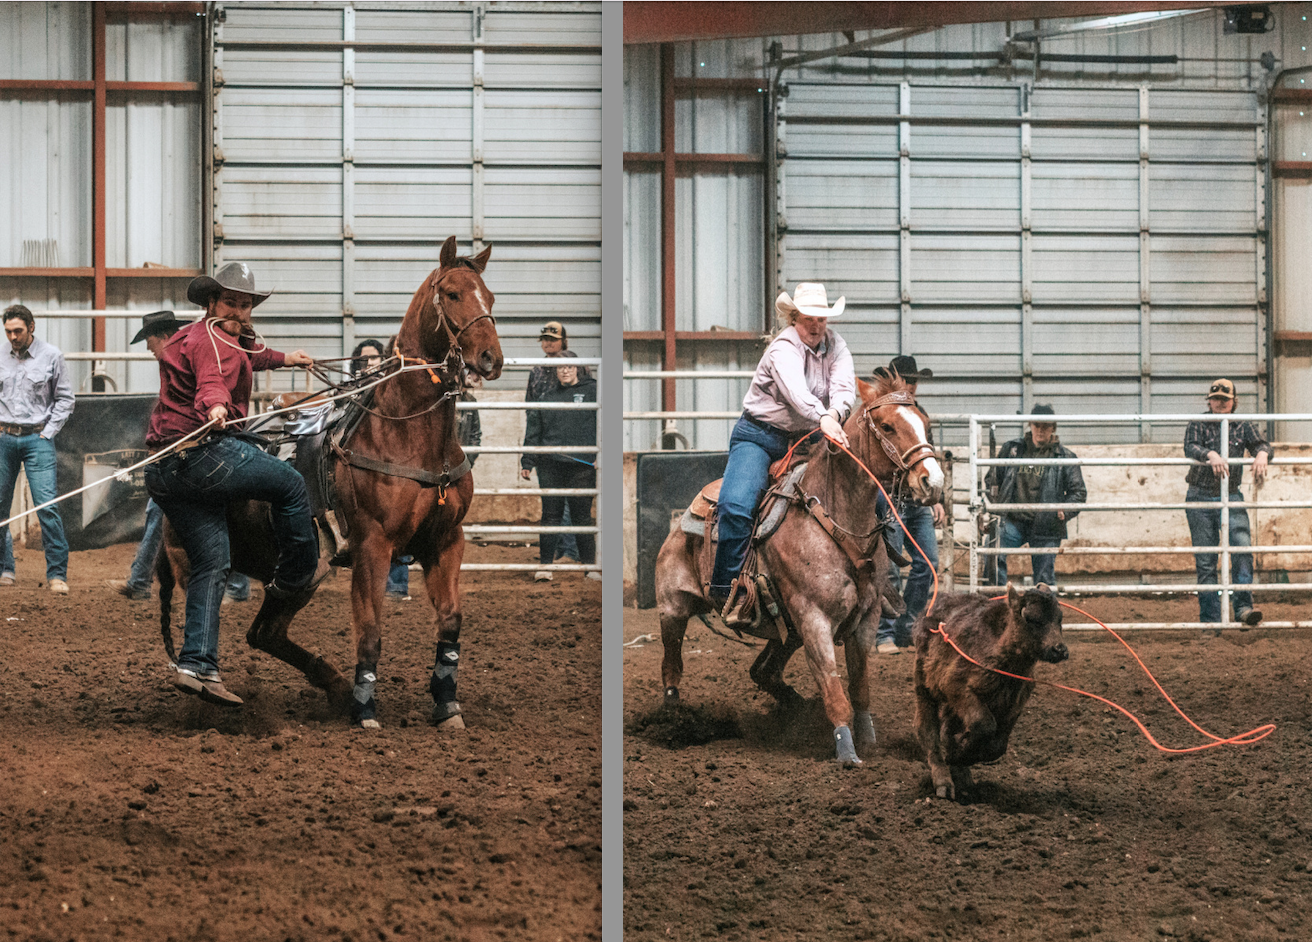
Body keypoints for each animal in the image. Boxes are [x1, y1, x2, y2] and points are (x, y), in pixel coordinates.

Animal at [154, 236, 501, 729]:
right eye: (452, 293)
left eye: (489, 297)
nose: (491, 359)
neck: (406, 434)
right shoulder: (373, 545)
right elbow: (371, 630)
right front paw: (366, 710)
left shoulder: (447, 540)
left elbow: (451, 620)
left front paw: (447, 705)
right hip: (207, 565)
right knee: (215, 619)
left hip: (299, 576)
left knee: (265, 633)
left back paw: (333, 686)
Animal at [656, 372, 944, 766]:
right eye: (887, 426)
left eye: (926, 425)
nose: (933, 483)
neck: (836, 519)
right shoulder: (814, 619)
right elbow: (834, 690)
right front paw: (847, 752)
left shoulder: (866, 619)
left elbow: (860, 688)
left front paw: (868, 741)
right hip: (674, 607)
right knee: (672, 668)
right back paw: (674, 721)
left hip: (785, 631)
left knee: (763, 672)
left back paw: (796, 708)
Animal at [913, 587, 1065, 802]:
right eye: (1031, 618)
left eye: (1059, 618)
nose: (1059, 649)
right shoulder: (956, 686)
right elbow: (984, 724)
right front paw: (960, 754)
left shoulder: (1015, 703)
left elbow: (998, 746)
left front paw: (963, 754)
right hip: (924, 686)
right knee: (928, 730)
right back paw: (944, 781)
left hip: (953, 706)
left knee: (947, 730)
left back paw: (963, 778)